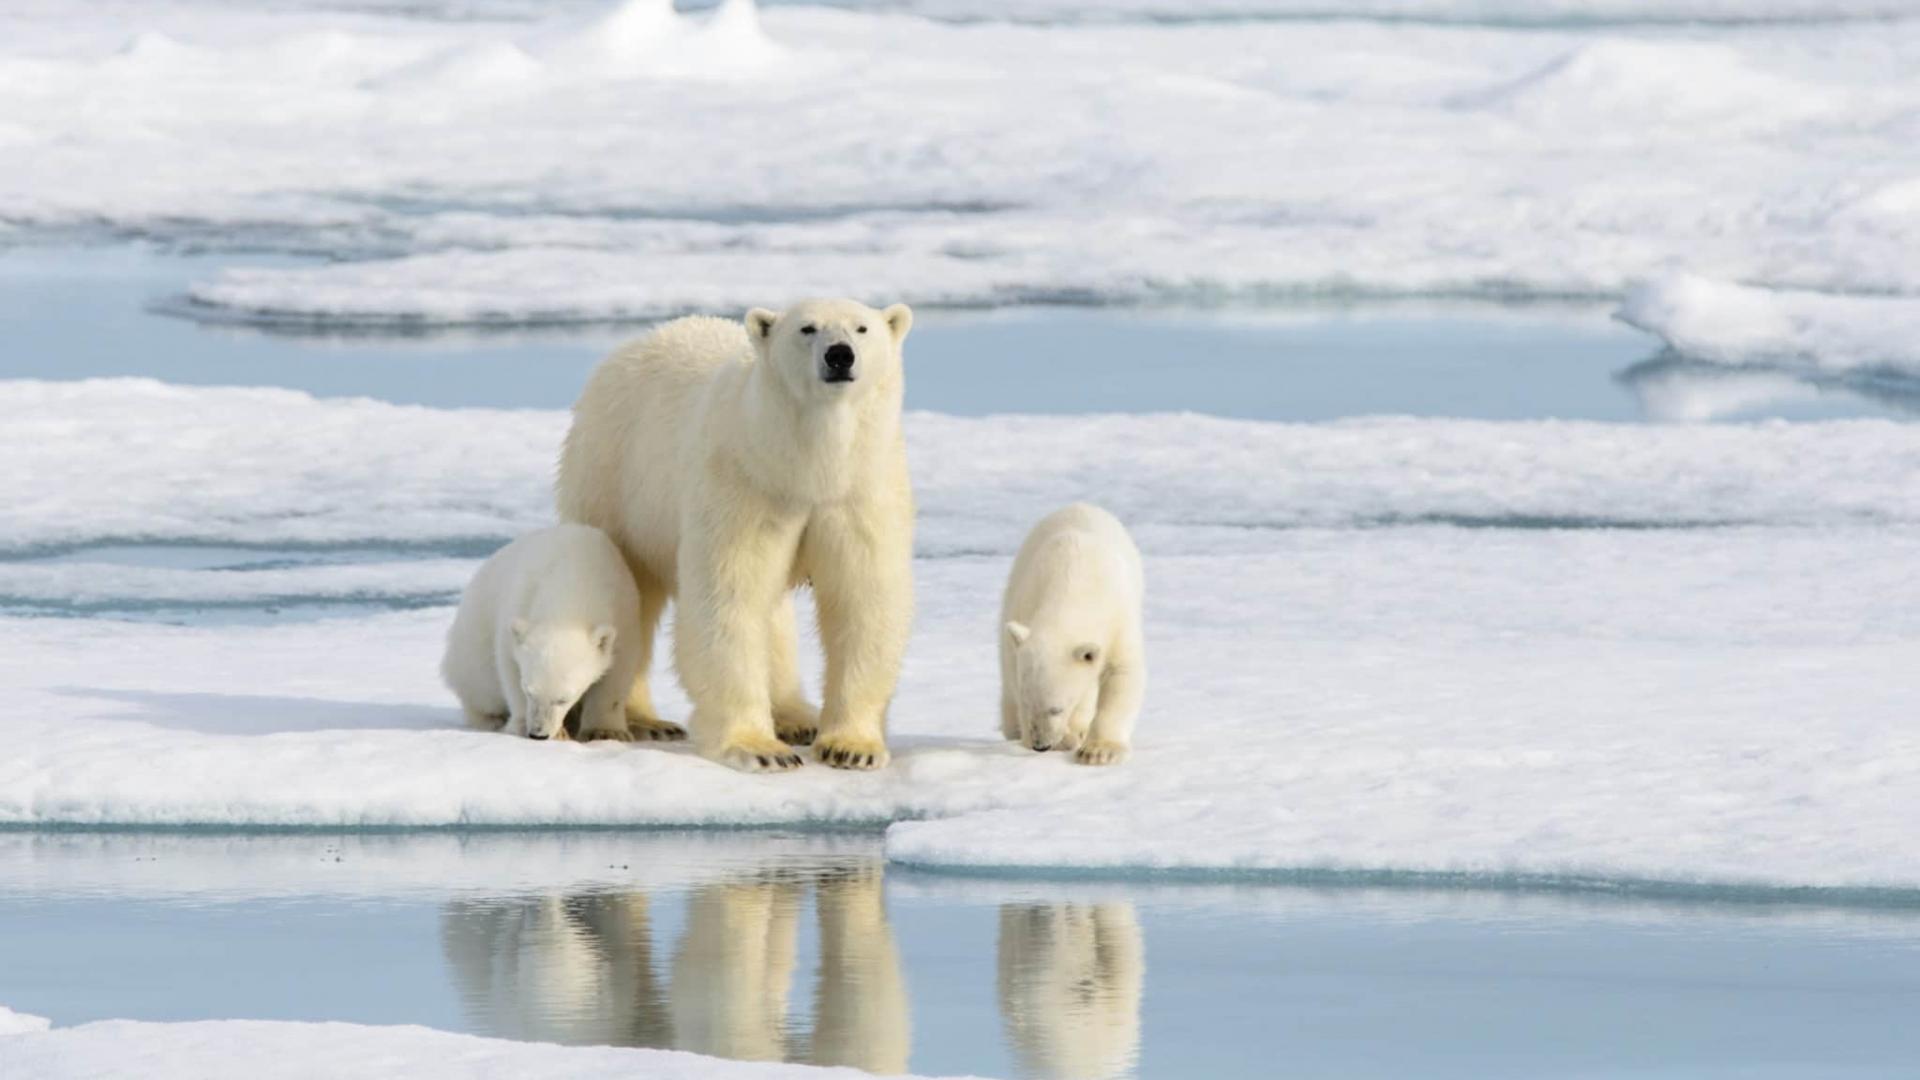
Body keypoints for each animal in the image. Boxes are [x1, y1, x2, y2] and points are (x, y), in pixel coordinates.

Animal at [439, 522, 641, 737]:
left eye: (563, 699)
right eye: (529, 691)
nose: (538, 734)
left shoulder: (623, 611)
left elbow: (617, 672)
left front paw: (606, 731)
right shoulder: (519, 604)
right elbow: (509, 667)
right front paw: (519, 725)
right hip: (472, 647)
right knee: (479, 690)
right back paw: (490, 720)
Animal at [556, 297, 913, 768]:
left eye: (862, 328)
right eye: (807, 328)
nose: (840, 355)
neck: (805, 469)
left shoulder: (857, 494)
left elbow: (863, 598)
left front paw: (850, 747)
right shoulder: (743, 485)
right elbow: (729, 598)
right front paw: (760, 749)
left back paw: (795, 717)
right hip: (613, 480)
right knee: (628, 595)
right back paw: (636, 719)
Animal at [998, 503, 1144, 764]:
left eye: (1056, 708)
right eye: (1027, 703)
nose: (1041, 745)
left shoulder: (1119, 618)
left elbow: (1122, 674)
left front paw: (1098, 751)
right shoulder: (1023, 603)